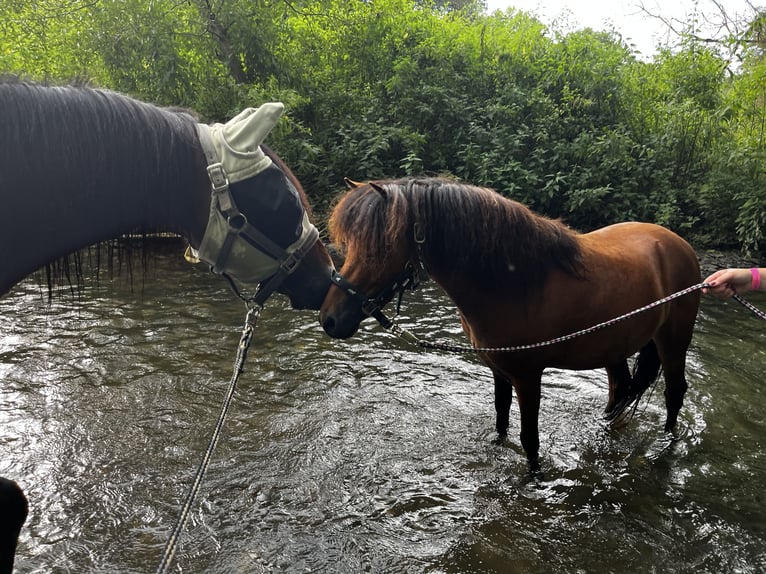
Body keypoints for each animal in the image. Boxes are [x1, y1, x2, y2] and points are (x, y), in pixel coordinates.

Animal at [319, 177, 701, 473]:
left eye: (380, 248)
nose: (330, 320)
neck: (513, 283)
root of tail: (677, 243)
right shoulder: (498, 370)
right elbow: (501, 420)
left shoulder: (528, 376)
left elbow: (529, 439)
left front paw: (534, 479)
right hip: (613, 348)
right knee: (620, 390)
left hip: (673, 341)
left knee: (674, 392)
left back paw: (667, 445)